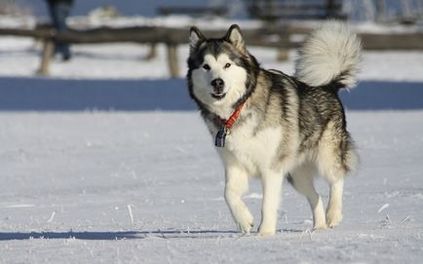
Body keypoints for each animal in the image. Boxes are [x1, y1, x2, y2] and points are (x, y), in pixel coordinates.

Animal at [188, 21, 362, 235]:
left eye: (227, 65)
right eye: (206, 66)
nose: (217, 82)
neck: (238, 109)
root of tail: (329, 86)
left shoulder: (271, 167)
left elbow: (267, 204)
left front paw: (265, 233)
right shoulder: (234, 164)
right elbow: (228, 193)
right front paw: (244, 221)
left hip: (325, 156)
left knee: (337, 178)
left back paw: (333, 215)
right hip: (296, 174)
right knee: (316, 196)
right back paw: (319, 227)